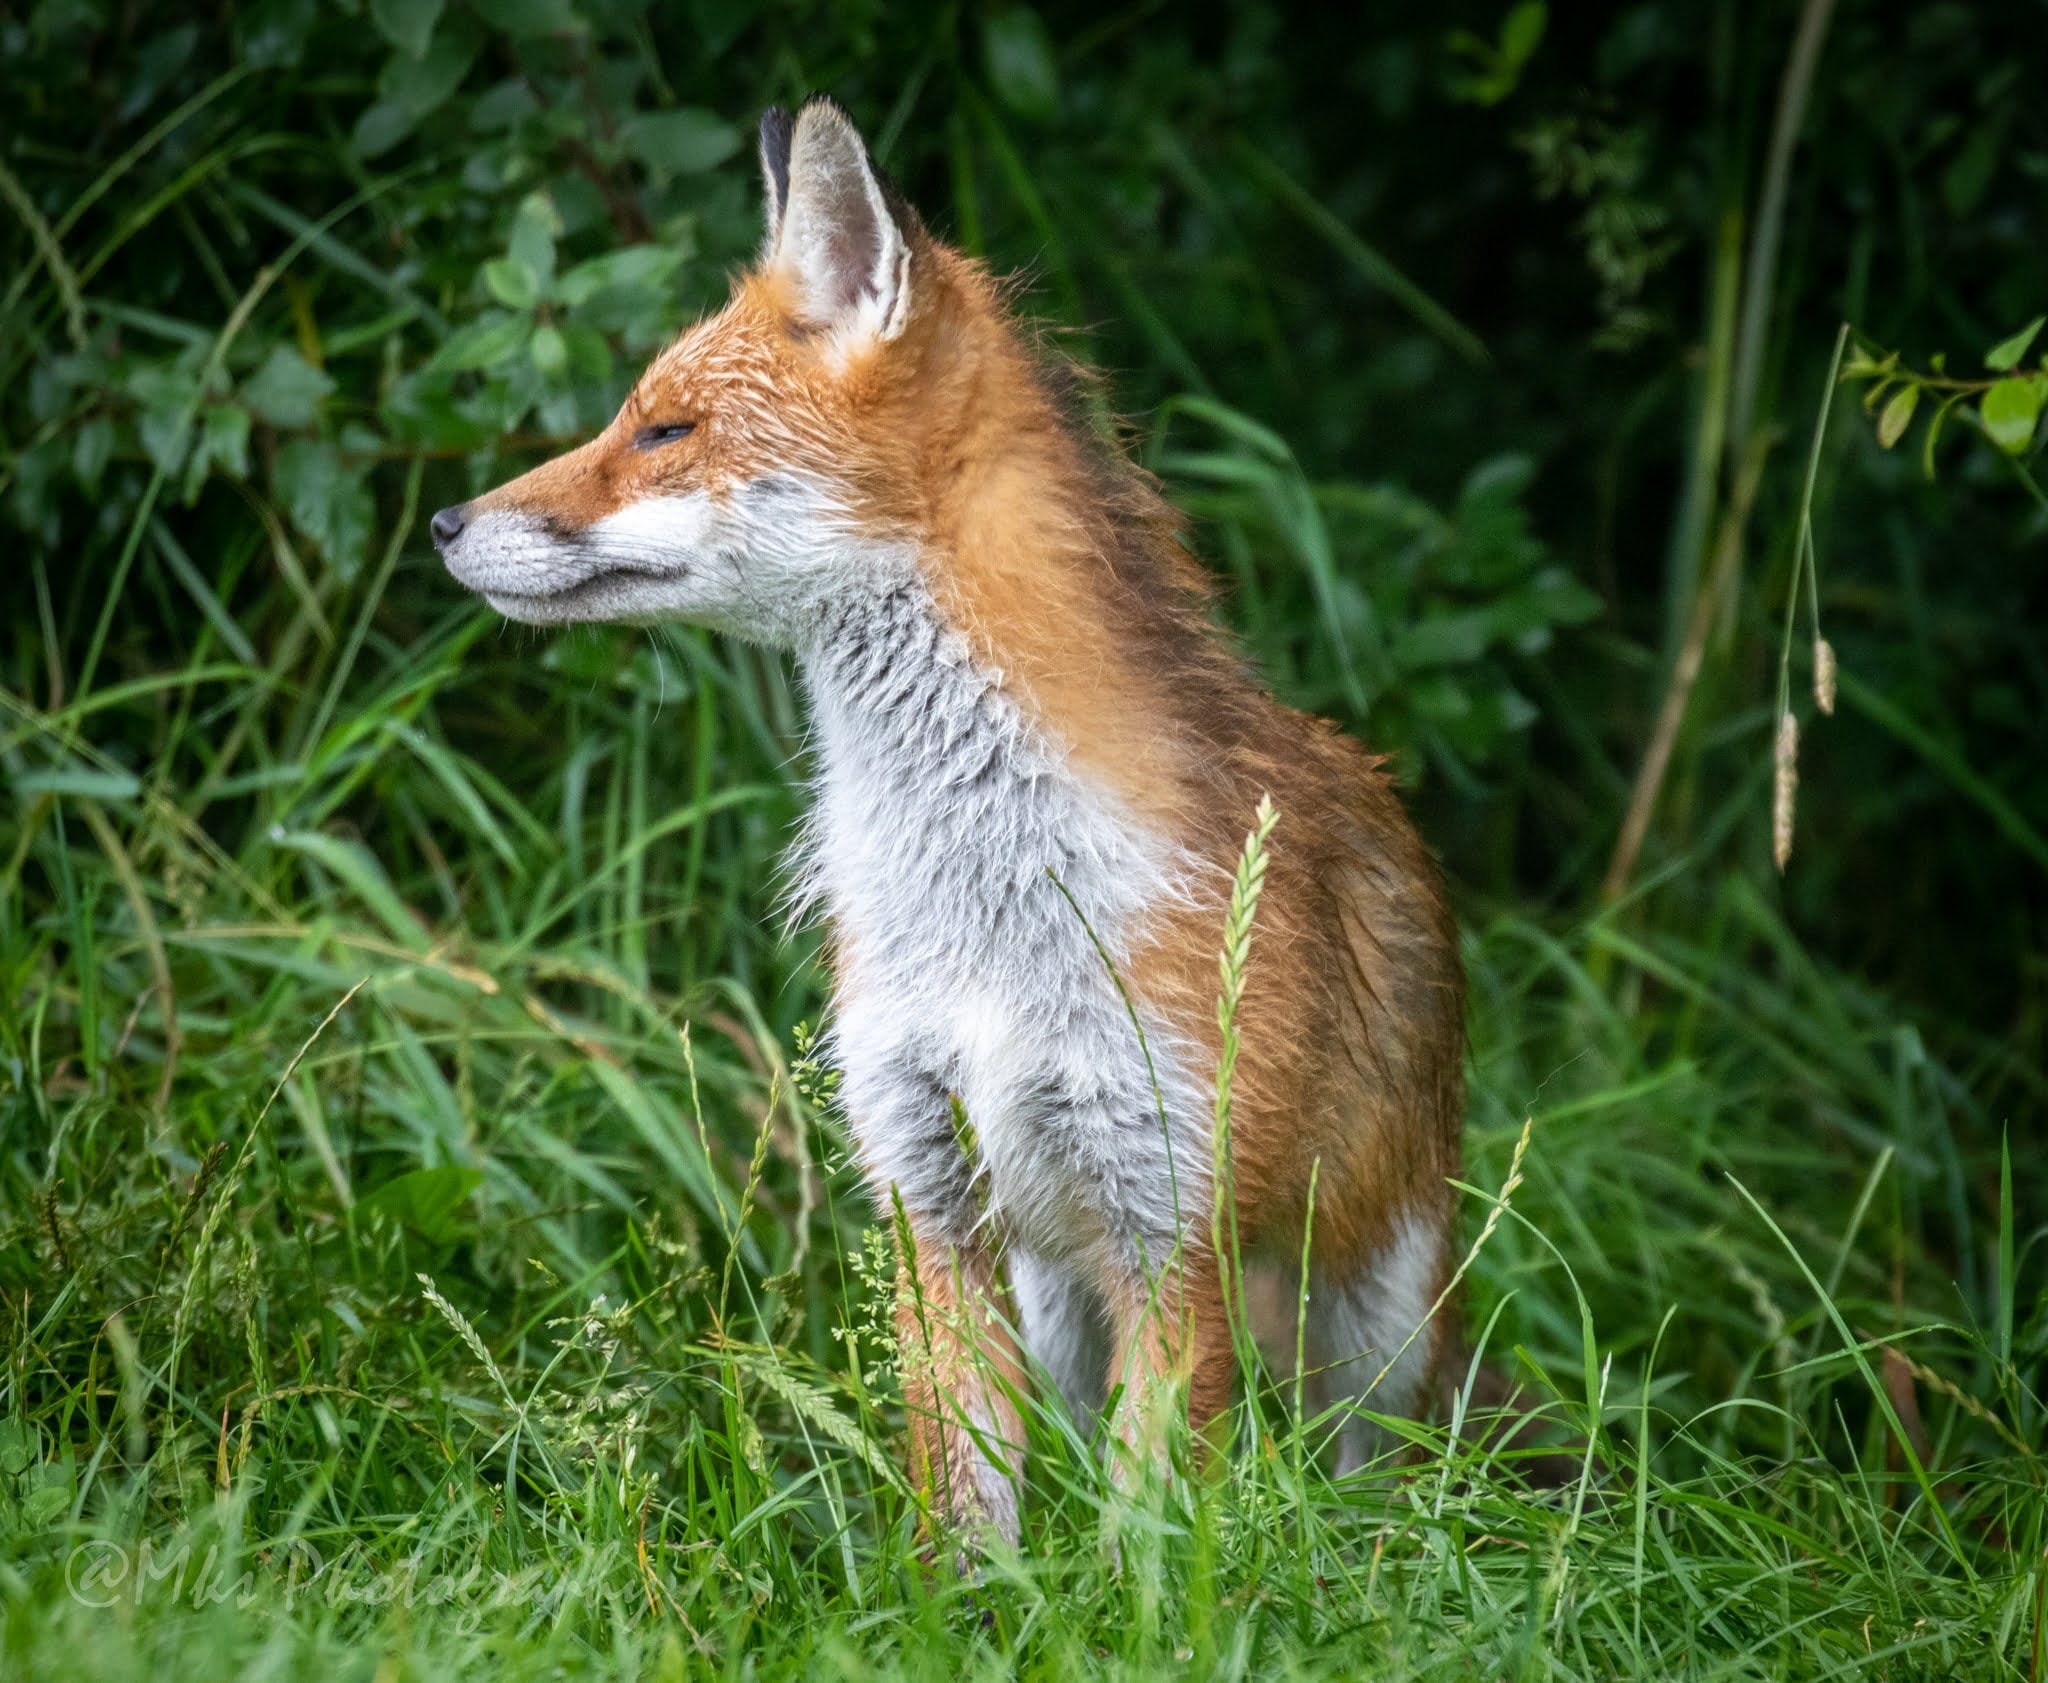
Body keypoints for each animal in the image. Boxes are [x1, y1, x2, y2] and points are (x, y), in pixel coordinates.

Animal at [433, 96, 1464, 1545]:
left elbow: (1148, 1539)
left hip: (1369, 1332)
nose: (444, 523)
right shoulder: (931, 1202)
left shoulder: (1171, 1228)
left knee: (1375, 1478)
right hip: (1059, 1293)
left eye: (663, 431)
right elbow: (965, 1517)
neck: (985, 909)